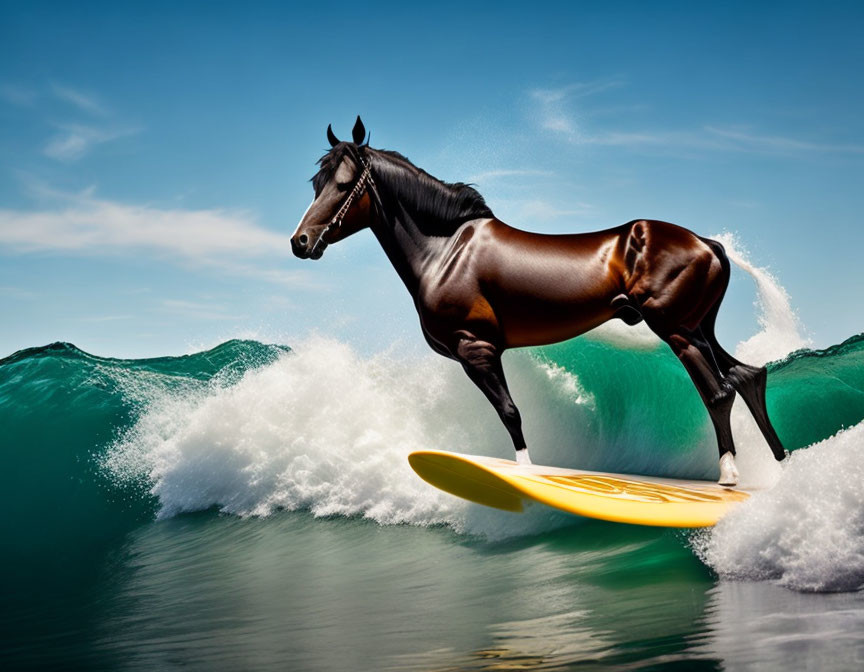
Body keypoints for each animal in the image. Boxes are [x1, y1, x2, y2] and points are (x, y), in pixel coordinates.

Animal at [292, 115, 788, 484]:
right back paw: (781, 464)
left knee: (718, 392)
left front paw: (526, 475)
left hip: (678, 331)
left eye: (344, 185)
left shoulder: (478, 349)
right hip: (700, 329)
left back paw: (729, 476)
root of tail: (707, 243)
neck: (446, 250)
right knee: (749, 376)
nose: (301, 242)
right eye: (315, 183)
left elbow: (510, 414)